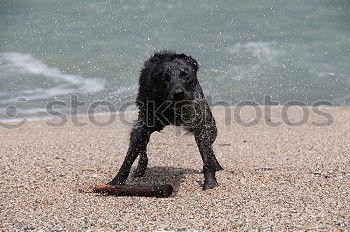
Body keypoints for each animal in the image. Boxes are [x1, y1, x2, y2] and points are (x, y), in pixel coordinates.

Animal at [108, 50, 223, 190]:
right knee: (142, 147)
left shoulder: (200, 122)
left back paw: (216, 165)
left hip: (211, 127)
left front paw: (210, 181)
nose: (178, 93)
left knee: (210, 146)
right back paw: (140, 168)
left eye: (185, 74)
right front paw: (117, 181)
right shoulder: (142, 125)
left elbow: (206, 153)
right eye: (165, 78)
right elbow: (130, 156)